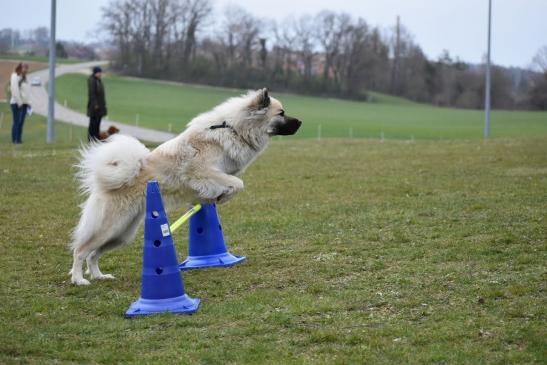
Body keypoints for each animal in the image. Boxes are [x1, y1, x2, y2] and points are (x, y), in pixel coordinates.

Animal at [69, 87, 304, 284]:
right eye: (281, 113)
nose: (301, 122)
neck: (234, 129)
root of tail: (107, 183)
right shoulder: (203, 172)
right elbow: (238, 183)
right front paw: (223, 196)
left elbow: (233, 183)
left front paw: (218, 196)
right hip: (110, 228)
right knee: (80, 251)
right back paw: (79, 280)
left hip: (121, 234)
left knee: (93, 255)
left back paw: (99, 276)